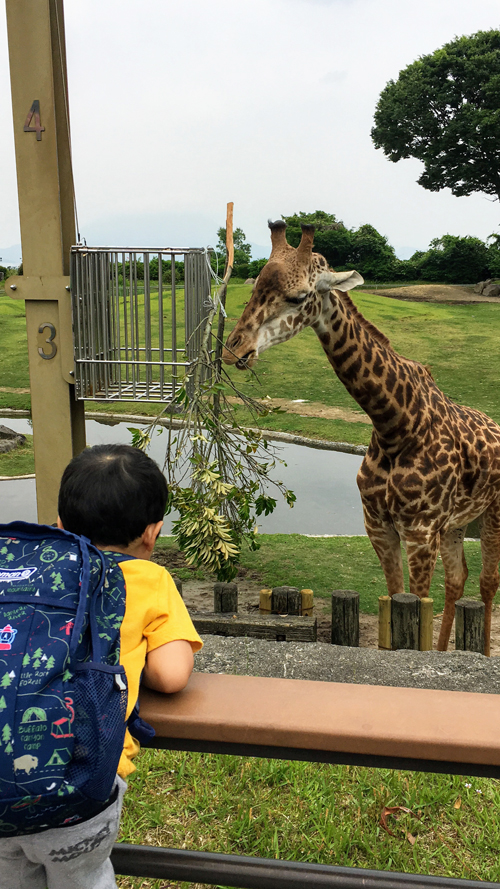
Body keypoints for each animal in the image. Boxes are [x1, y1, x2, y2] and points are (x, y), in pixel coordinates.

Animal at [224, 220, 500, 652]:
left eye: (297, 295)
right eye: (253, 289)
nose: (234, 350)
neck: (395, 425)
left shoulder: (420, 532)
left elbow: (418, 610)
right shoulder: (379, 526)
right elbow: (396, 599)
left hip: (492, 514)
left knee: (488, 583)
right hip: (457, 522)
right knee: (459, 580)